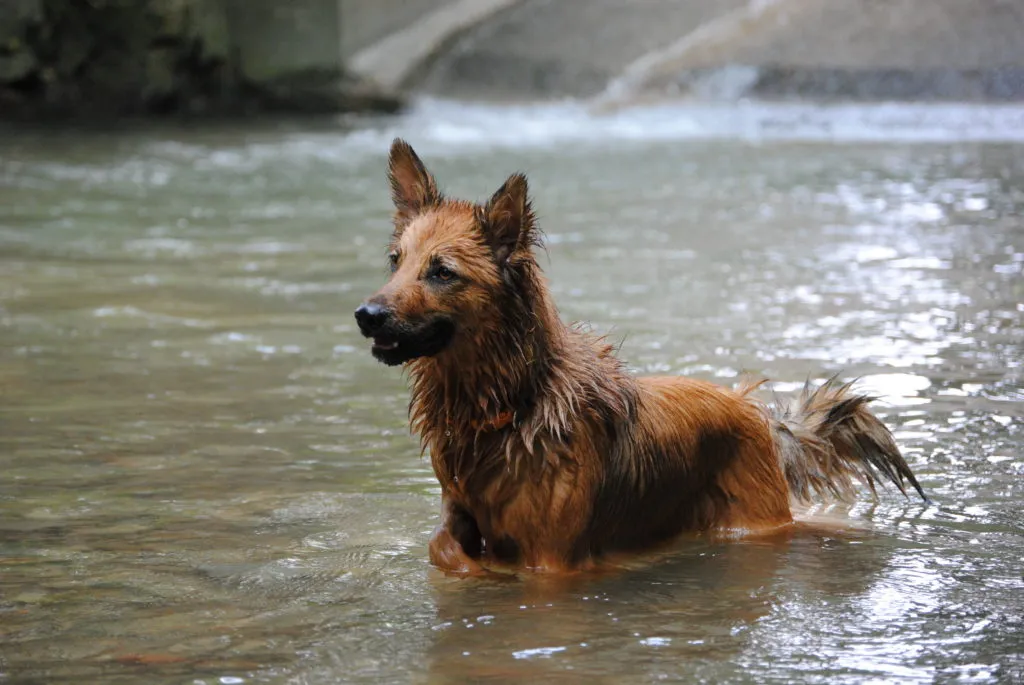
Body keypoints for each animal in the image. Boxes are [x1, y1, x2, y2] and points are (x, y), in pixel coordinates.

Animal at [354, 138, 927, 575]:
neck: (509, 403)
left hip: (754, 524)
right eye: (396, 261)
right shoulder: (461, 507)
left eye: (442, 272)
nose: (366, 315)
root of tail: (753, 411)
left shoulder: (552, 565)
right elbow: (444, 544)